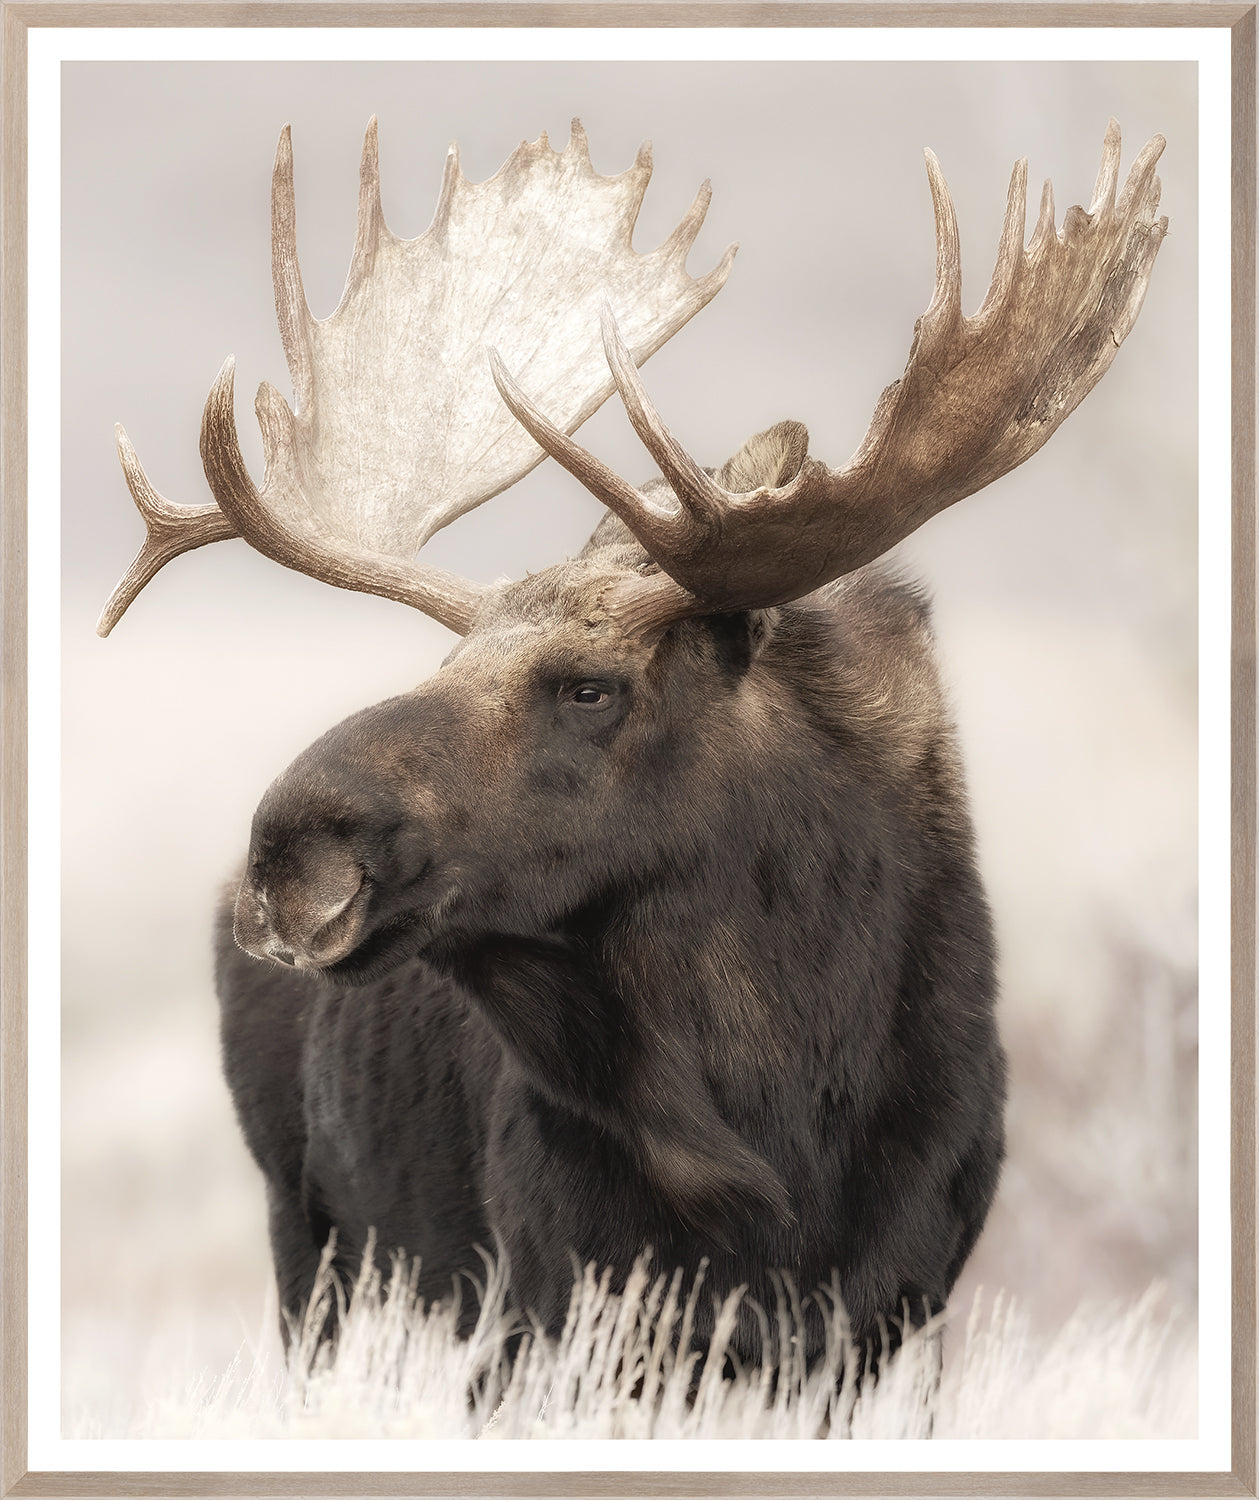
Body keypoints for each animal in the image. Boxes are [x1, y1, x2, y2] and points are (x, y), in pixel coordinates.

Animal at [99, 119, 1166, 1374]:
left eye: (589, 687)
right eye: (441, 668)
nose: (289, 856)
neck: (780, 1110)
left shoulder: (891, 1315)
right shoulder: (544, 1299)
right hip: (310, 1241)